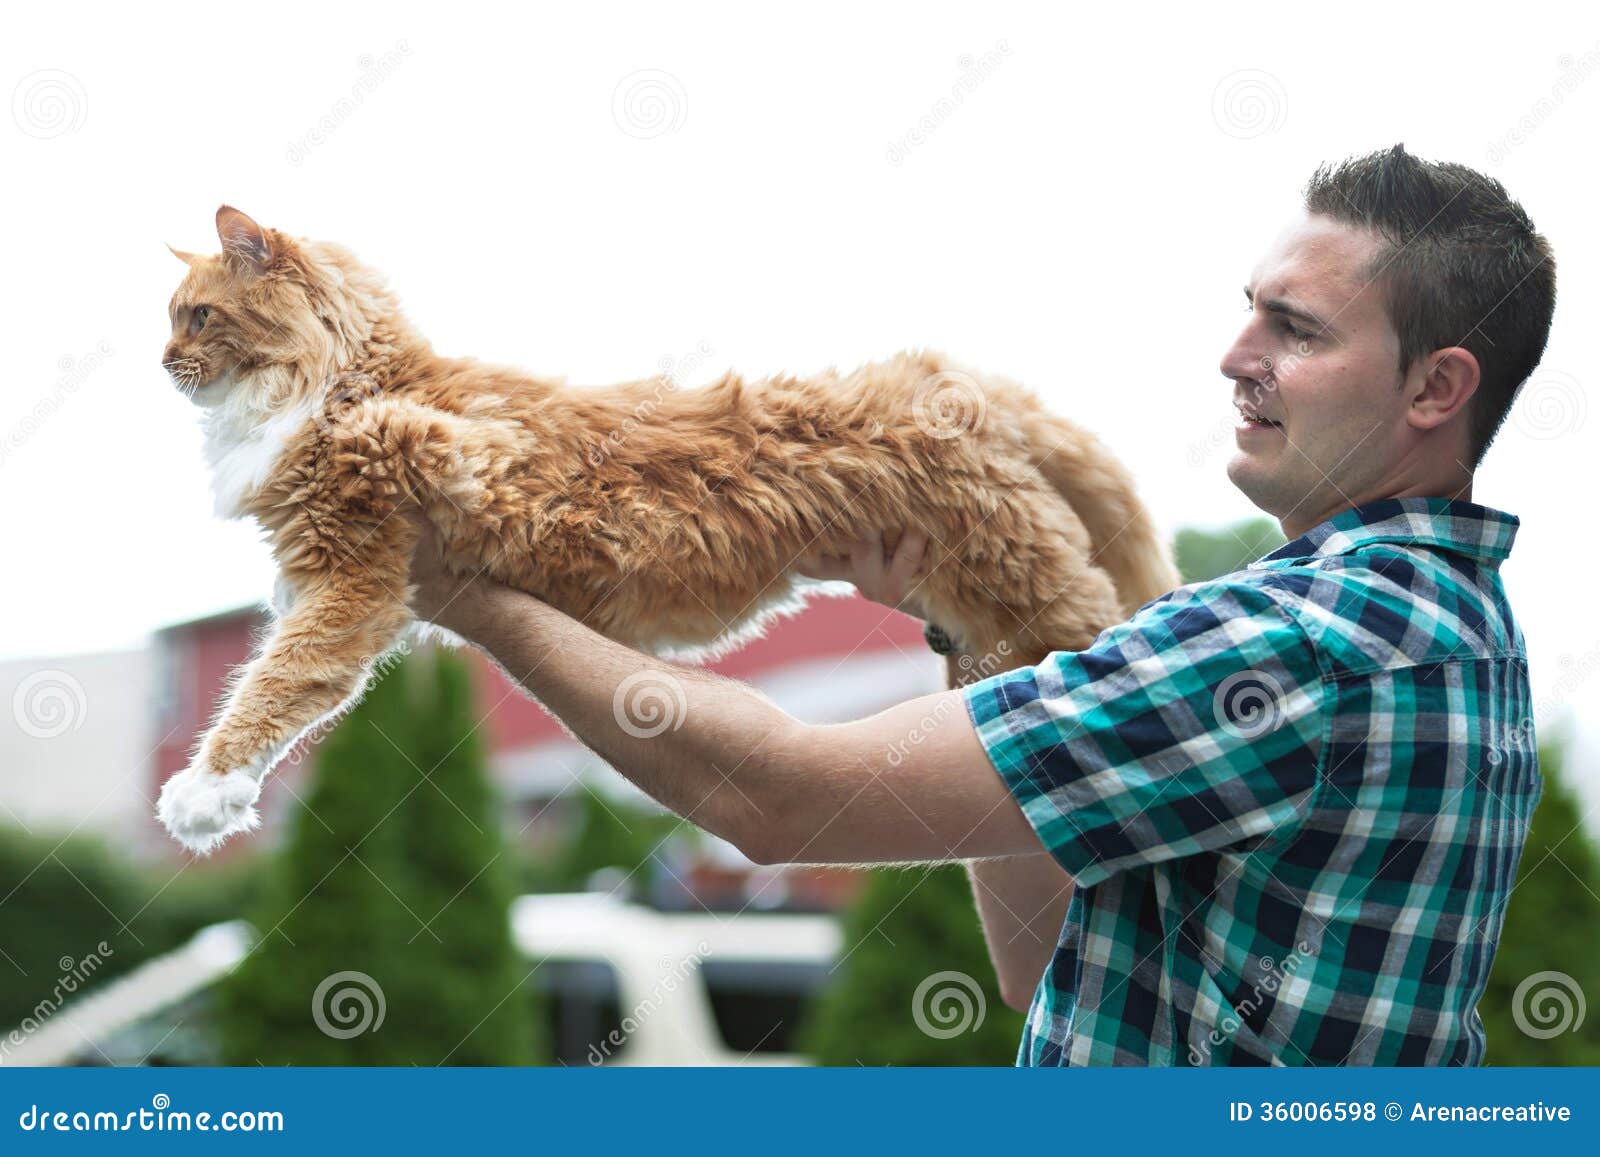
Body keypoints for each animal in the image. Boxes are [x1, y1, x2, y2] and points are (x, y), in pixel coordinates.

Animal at [156, 208, 1177, 857]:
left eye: (197, 315)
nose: (164, 363)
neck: (343, 372)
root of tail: (948, 377)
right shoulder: (359, 587)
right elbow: (295, 681)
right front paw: (220, 791)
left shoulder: (371, 559)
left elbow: (276, 679)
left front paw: (200, 793)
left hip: (1028, 574)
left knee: (1106, 632)